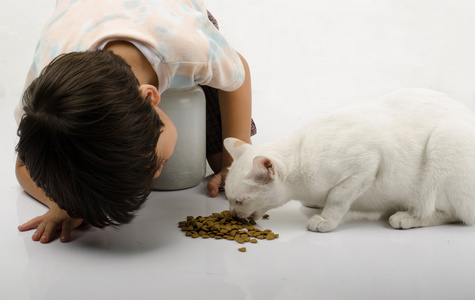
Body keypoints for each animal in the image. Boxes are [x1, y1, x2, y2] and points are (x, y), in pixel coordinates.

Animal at [225, 88, 475, 231]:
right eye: (228, 200)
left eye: (239, 201)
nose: (233, 215)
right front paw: (316, 205)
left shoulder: (366, 165)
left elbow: (337, 198)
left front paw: (325, 220)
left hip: (446, 138)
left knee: (455, 215)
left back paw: (407, 217)